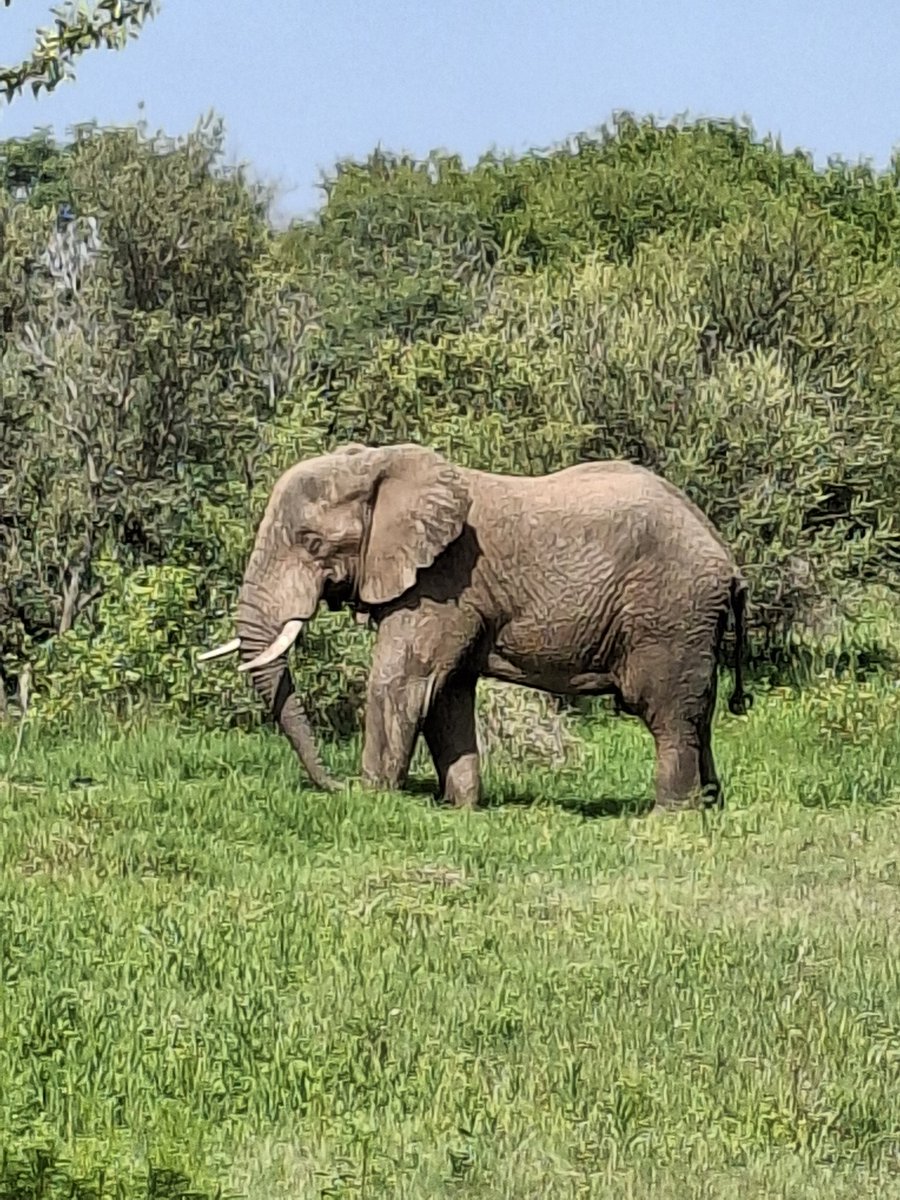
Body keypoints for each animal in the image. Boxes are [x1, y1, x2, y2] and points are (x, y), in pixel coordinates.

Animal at [197, 441, 751, 811]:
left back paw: (668, 816)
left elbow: (401, 682)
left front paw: (373, 800)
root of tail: (727, 558)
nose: (337, 786)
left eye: (312, 543)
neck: (379, 465)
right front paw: (460, 809)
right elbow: (447, 695)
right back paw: (710, 807)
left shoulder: (441, 581)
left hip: (669, 613)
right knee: (697, 714)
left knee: (668, 712)